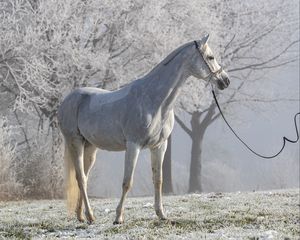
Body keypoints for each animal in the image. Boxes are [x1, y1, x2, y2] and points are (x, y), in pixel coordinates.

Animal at [56, 34, 230, 224]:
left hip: (90, 147)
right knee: (80, 178)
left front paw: (161, 214)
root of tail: (68, 100)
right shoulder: (134, 145)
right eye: (211, 57)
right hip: (75, 142)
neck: (154, 100)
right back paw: (90, 215)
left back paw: (82, 215)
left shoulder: (159, 146)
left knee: (84, 178)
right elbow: (127, 182)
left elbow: (158, 180)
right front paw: (118, 217)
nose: (225, 81)